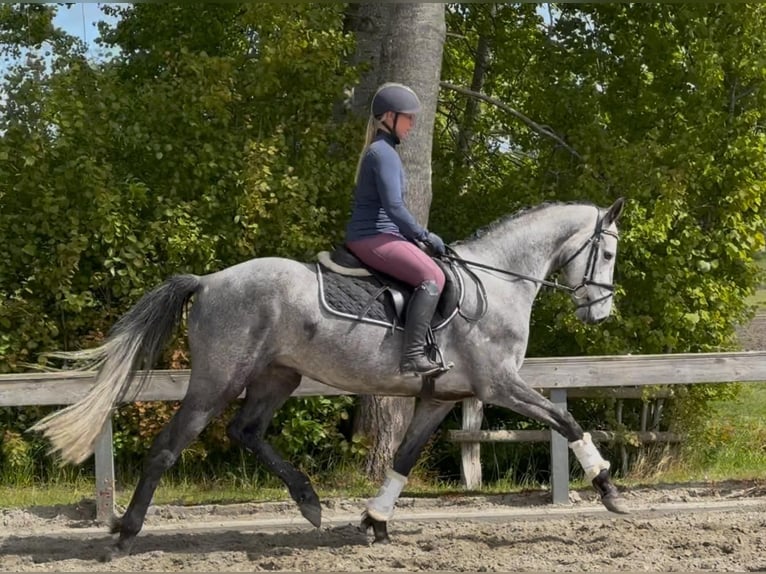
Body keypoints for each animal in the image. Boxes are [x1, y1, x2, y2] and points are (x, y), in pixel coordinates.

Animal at [30, 197, 627, 559]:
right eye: (608, 251)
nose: (600, 314)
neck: (499, 282)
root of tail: (209, 280)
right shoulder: (498, 385)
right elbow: (567, 420)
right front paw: (608, 489)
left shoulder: (442, 397)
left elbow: (403, 457)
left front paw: (374, 520)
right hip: (218, 381)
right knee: (168, 447)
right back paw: (125, 533)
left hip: (278, 377)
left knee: (246, 432)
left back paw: (309, 501)